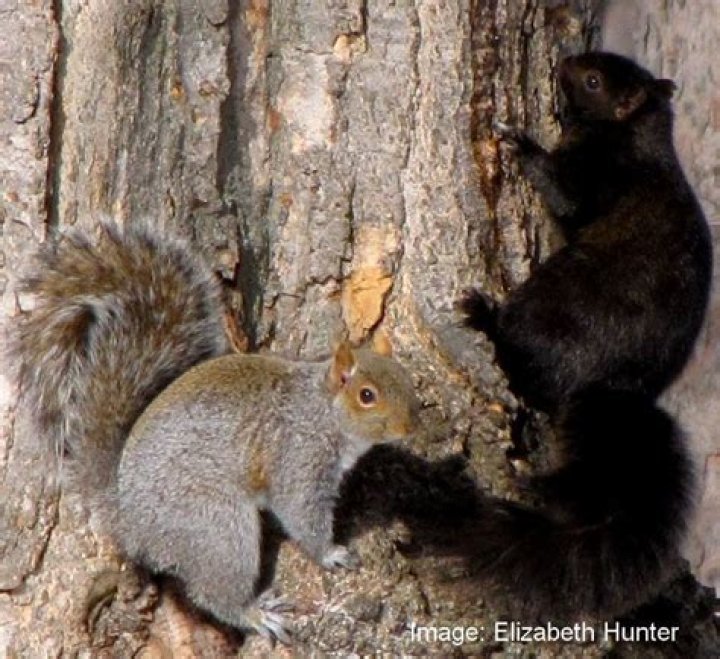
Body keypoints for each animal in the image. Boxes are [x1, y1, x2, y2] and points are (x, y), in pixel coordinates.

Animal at [10, 222, 420, 642]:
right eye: (367, 395)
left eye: (404, 376)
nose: (412, 425)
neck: (321, 409)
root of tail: (127, 517)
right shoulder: (298, 458)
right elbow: (301, 515)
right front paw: (331, 553)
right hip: (218, 527)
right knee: (213, 594)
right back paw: (254, 614)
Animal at [460, 52, 713, 619]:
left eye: (594, 81)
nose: (563, 62)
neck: (634, 133)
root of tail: (616, 386)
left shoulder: (600, 174)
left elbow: (568, 198)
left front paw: (520, 143)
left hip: (552, 301)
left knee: (523, 363)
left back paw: (486, 318)